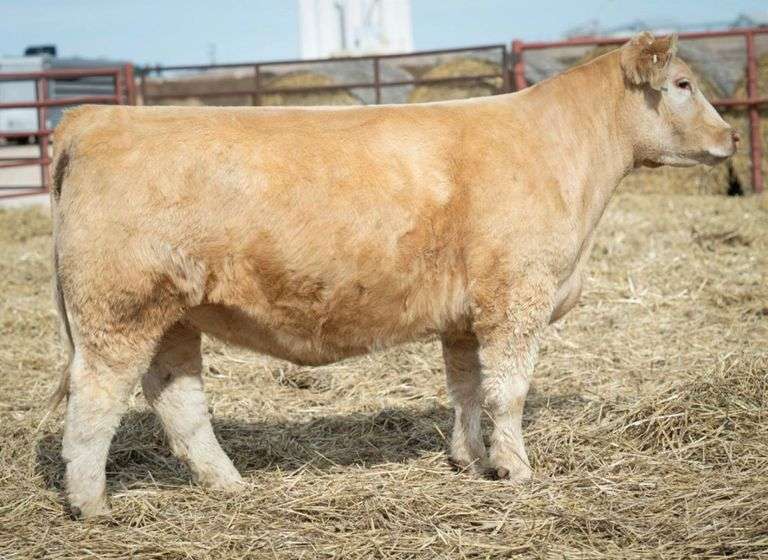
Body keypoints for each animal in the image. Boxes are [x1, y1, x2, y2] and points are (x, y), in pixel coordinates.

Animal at [49, 33, 737, 518]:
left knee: (178, 399)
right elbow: (508, 390)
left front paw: (470, 459)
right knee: (96, 399)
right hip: (119, 309)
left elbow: (466, 388)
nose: (732, 137)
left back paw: (228, 483)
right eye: (682, 82)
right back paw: (91, 503)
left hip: (172, 314)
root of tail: (95, 117)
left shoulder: (463, 315)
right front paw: (515, 469)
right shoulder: (516, 295)